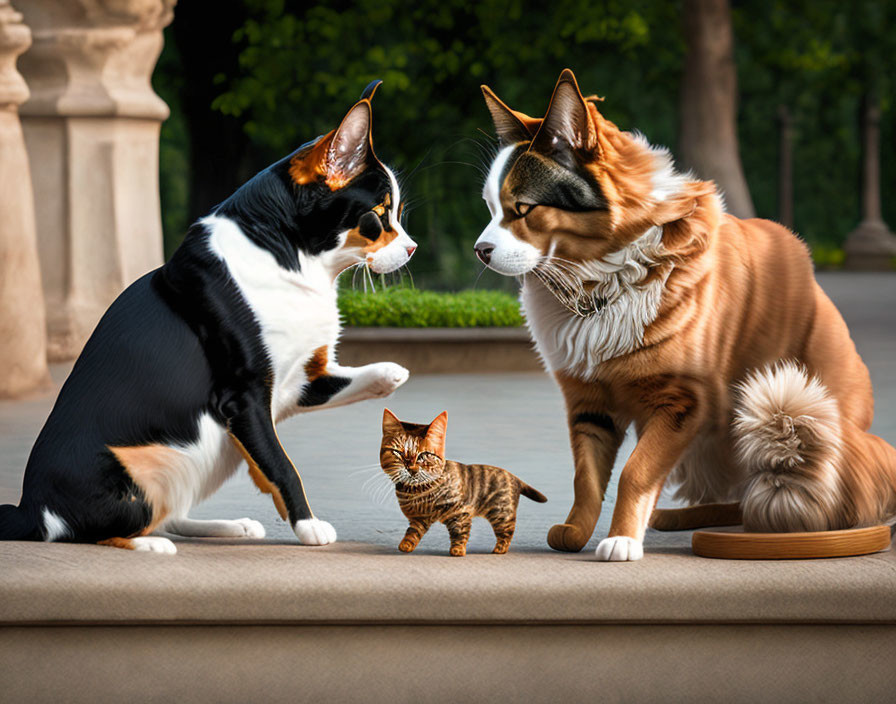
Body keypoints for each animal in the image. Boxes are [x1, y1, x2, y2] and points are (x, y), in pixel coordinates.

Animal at [0, 82, 416, 552]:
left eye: (397, 213)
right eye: (379, 216)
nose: (412, 248)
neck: (290, 259)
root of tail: (31, 509)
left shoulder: (294, 384)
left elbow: (352, 381)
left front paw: (389, 373)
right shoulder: (245, 394)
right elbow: (281, 465)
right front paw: (309, 526)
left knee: (169, 515)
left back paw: (229, 526)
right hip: (128, 478)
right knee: (96, 530)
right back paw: (149, 545)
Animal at [378, 408, 544, 556]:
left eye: (423, 455)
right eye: (398, 453)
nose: (411, 469)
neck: (416, 491)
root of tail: (515, 477)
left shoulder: (460, 512)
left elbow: (459, 532)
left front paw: (458, 550)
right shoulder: (420, 519)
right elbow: (412, 532)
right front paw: (406, 545)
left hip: (501, 513)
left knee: (507, 531)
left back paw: (500, 549)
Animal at [476, 67, 896, 560]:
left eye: (523, 208)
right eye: (490, 207)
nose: (480, 251)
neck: (601, 280)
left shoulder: (682, 400)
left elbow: (636, 471)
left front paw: (622, 538)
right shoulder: (589, 403)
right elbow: (587, 476)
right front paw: (578, 530)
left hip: (791, 413)